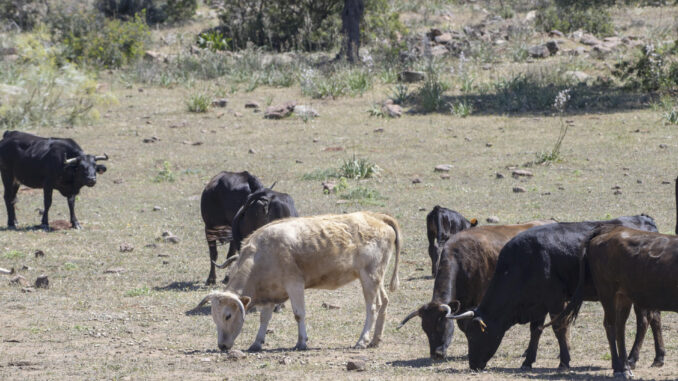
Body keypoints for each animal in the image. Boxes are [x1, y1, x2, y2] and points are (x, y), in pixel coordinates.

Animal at [194, 211, 402, 350]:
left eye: (228, 315)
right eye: (214, 316)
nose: (222, 346)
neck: (262, 254)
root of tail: (376, 216)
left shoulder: (294, 284)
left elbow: (299, 314)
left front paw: (301, 342)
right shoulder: (271, 292)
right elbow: (264, 318)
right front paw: (257, 342)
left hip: (369, 277)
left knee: (372, 308)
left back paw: (362, 340)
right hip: (376, 277)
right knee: (383, 302)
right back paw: (375, 340)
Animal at [448, 215, 668, 370]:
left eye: (473, 335)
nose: (473, 365)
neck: (524, 261)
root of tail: (645, 220)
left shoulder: (555, 300)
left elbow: (558, 329)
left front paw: (564, 362)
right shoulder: (538, 304)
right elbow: (535, 330)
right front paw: (528, 361)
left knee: (644, 321)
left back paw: (632, 359)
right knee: (655, 318)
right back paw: (658, 358)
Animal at [556, 226, 678, 378]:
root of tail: (611, 229)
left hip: (623, 296)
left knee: (621, 327)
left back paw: (625, 365)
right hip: (607, 292)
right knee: (611, 325)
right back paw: (620, 368)